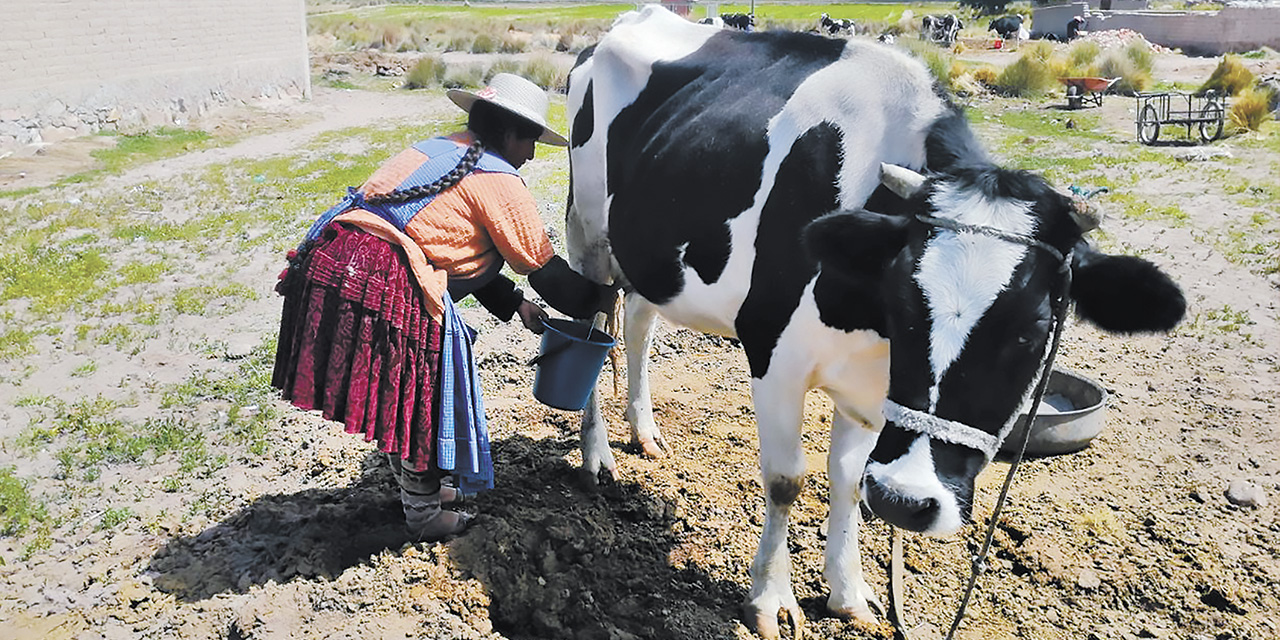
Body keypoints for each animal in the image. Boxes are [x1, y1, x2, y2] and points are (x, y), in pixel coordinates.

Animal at [565, 6, 1182, 640]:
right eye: (903, 299)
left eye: (1031, 333)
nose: (906, 502)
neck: (869, 329)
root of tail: (632, 19)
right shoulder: (774, 356)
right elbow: (787, 479)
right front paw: (769, 599)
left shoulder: (871, 387)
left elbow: (848, 476)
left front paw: (848, 592)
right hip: (587, 232)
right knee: (593, 325)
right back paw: (597, 458)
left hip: (650, 254)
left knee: (638, 325)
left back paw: (645, 432)